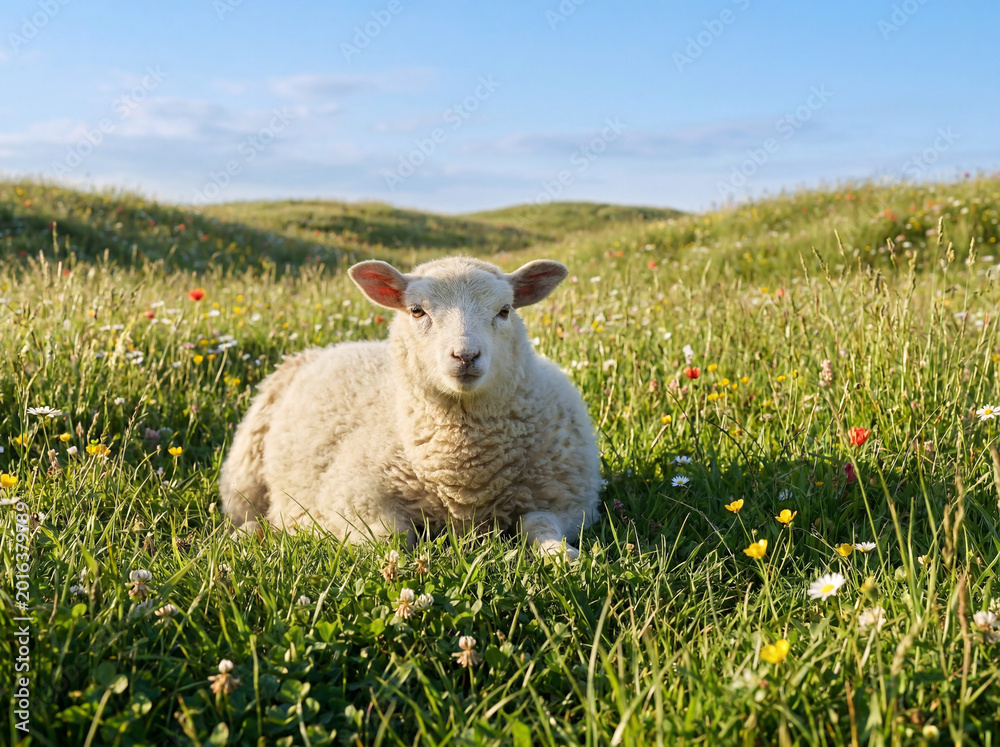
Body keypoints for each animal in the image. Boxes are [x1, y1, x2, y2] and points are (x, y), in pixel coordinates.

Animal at [218, 256, 602, 558]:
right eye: (417, 311)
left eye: (504, 311)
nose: (465, 356)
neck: (465, 473)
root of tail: (325, 348)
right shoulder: (352, 496)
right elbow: (392, 536)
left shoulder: (568, 500)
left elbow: (539, 524)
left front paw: (561, 555)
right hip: (243, 475)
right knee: (246, 513)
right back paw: (250, 534)